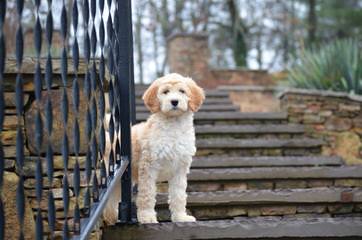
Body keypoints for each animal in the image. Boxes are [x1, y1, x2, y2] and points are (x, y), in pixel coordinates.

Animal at [104, 72, 205, 223]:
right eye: (165, 92)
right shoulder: (149, 166)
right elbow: (147, 194)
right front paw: (147, 217)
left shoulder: (180, 169)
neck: (173, 126)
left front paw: (180, 217)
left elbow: (178, 195)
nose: (174, 101)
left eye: (182, 91)